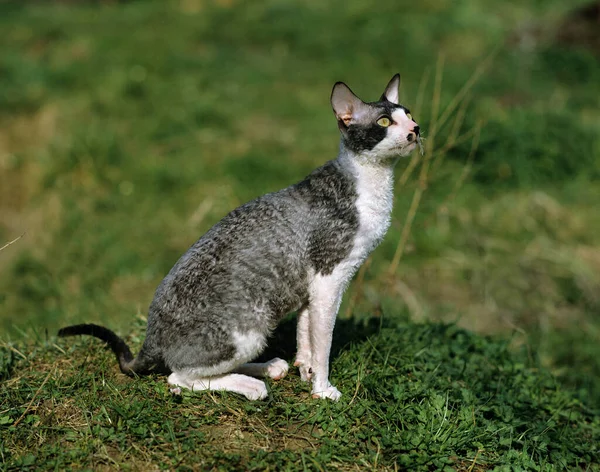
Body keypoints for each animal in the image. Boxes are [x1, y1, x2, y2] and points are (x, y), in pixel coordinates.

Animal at [58, 74, 420, 402]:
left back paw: (271, 367)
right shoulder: (329, 278)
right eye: (385, 122)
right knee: (178, 376)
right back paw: (252, 386)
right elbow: (323, 342)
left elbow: (305, 333)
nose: (415, 130)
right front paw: (322, 389)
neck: (372, 184)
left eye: (409, 114)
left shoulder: (311, 286)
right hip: (248, 328)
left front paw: (305, 370)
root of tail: (149, 342)